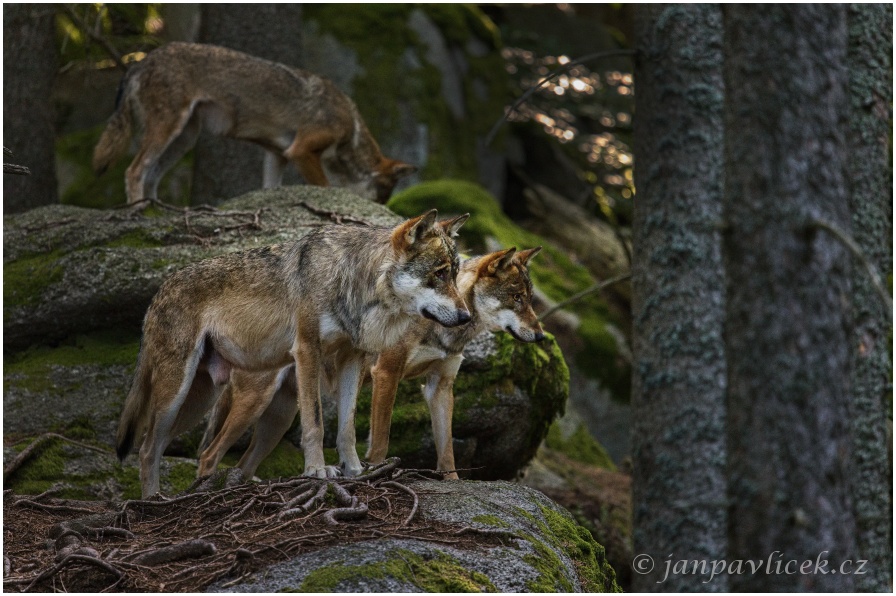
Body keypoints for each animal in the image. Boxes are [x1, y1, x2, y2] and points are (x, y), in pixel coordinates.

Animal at [93, 42, 416, 205]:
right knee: (135, 171)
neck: (351, 129)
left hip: (185, 138)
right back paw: (138, 213)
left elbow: (270, 188)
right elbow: (323, 187)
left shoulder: (277, 155)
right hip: (170, 129)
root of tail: (140, 61)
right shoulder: (301, 152)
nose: (380, 209)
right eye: (384, 196)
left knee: (151, 176)